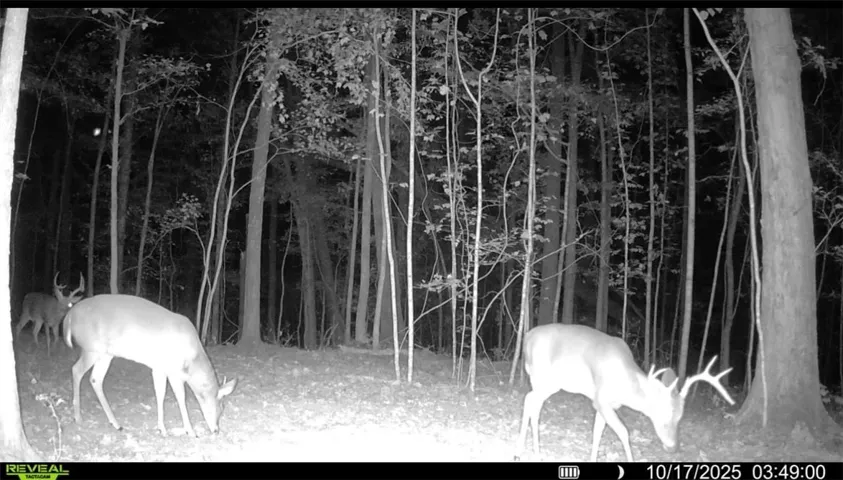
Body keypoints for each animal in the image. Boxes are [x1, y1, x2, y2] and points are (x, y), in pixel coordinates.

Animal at [63, 294, 238, 437]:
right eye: (222, 407)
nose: (216, 430)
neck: (192, 358)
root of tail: (69, 316)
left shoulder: (159, 368)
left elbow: (160, 394)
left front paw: (162, 429)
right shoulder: (173, 370)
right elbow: (181, 397)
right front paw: (190, 431)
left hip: (105, 354)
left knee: (95, 379)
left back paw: (116, 424)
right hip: (92, 348)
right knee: (76, 370)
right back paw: (78, 418)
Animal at [514, 323, 735, 462]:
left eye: (680, 418)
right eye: (662, 416)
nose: (673, 447)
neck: (626, 385)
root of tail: (527, 337)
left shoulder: (606, 405)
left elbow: (597, 433)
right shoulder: (600, 399)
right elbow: (623, 432)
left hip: (547, 383)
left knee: (533, 402)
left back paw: (529, 451)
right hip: (544, 378)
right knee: (529, 400)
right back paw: (525, 453)